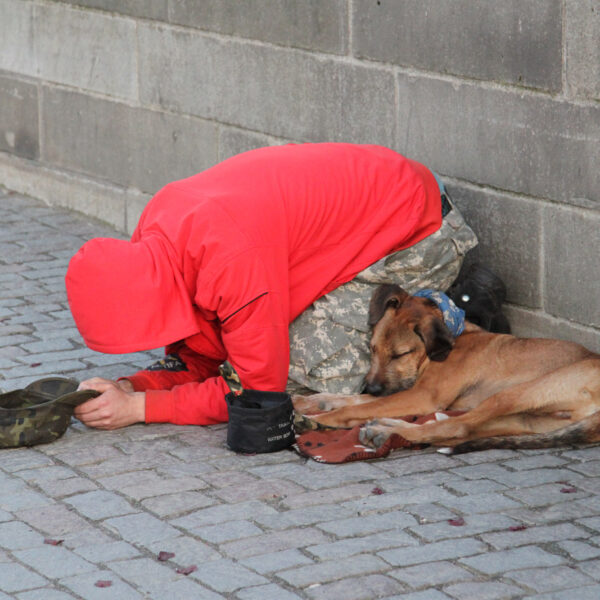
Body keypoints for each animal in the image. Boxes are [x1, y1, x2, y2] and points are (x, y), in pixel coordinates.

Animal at [294, 284, 600, 452]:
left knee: (457, 427)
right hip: (532, 419)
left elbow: (354, 407)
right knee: (458, 428)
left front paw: (318, 418)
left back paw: (385, 431)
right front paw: (311, 401)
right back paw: (389, 427)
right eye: (372, 348)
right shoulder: (403, 390)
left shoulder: (422, 395)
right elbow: (354, 400)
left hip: (515, 394)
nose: (373, 386)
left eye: (400, 354)